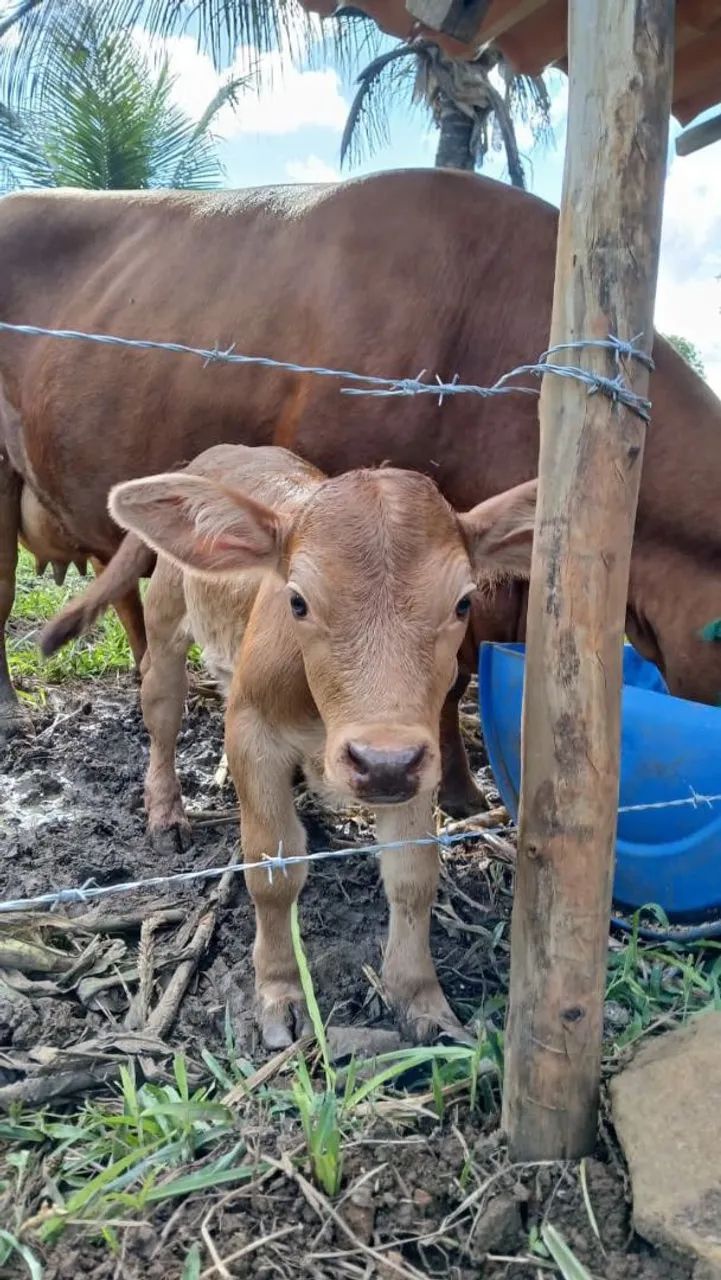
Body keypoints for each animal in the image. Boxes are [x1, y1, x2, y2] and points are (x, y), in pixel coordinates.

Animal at [105, 443, 537, 1045]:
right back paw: (166, 812)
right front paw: (280, 992)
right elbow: (273, 868)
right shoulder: (252, 733)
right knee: (162, 714)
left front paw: (420, 997)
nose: (381, 763)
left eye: (463, 604)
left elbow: (412, 874)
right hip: (167, 622)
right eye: (298, 601)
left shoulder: (413, 754)